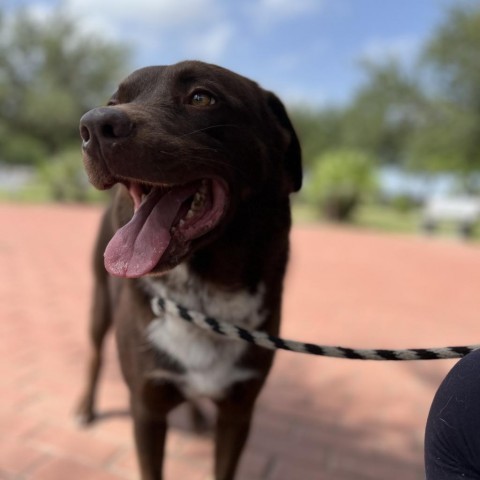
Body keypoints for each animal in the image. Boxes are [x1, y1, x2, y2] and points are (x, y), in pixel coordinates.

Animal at [77, 61, 302, 480]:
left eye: (201, 97)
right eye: (114, 102)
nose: (93, 125)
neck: (203, 296)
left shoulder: (238, 411)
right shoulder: (146, 409)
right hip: (99, 303)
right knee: (95, 355)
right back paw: (85, 407)